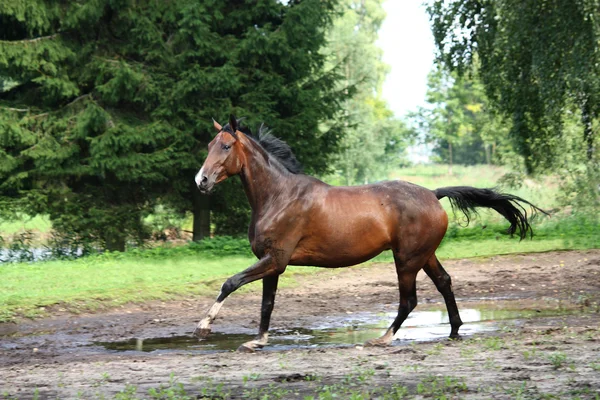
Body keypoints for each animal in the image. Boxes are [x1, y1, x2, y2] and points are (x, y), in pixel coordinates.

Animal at [193, 114, 548, 352]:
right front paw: (258, 341)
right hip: (424, 255)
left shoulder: (274, 260)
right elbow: (267, 303)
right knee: (445, 283)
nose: (201, 181)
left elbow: (230, 283)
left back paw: (383, 338)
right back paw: (453, 331)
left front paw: (203, 327)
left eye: (226, 145)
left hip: (406, 260)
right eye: (209, 145)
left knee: (409, 299)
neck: (279, 196)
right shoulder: (273, 263)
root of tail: (433, 194)